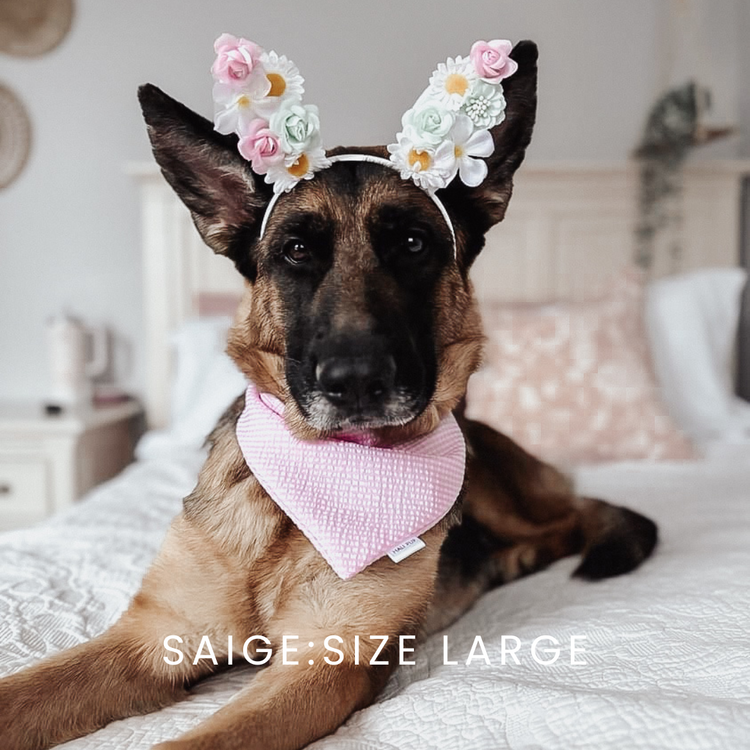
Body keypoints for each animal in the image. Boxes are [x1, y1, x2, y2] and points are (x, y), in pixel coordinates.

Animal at [0, 42, 656, 750]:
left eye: (413, 243)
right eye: (295, 252)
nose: (356, 381)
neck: (306, 489)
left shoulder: (321, 663)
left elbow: (200, 739)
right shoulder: (153, 638)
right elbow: (23, 693)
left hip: (499, 495)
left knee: (578, 517)